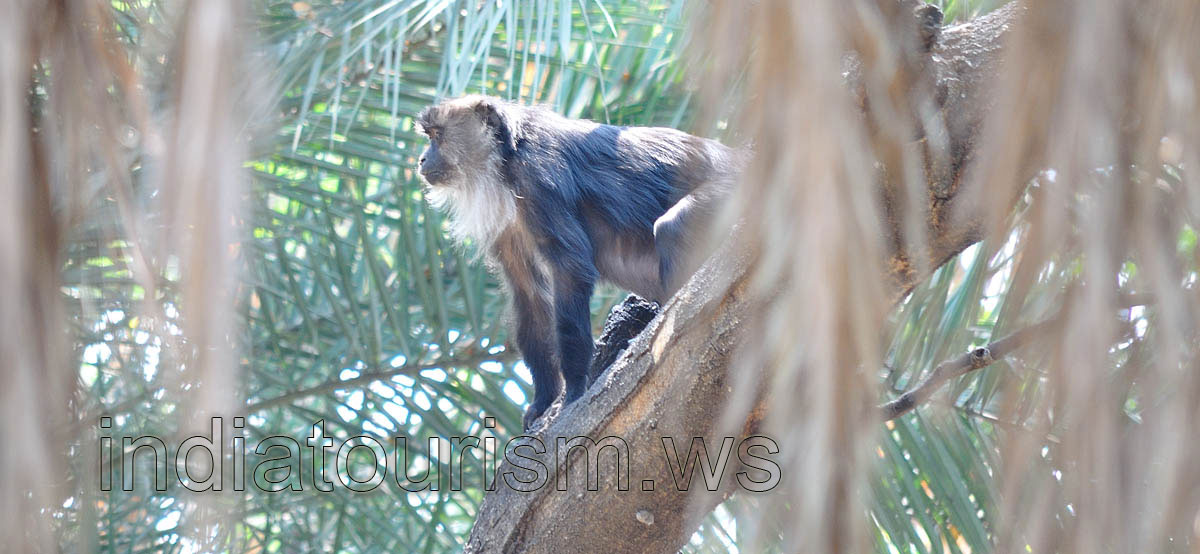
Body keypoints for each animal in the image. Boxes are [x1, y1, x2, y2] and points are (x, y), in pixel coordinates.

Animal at [416, 95, 740, 430]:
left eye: (437, 136)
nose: (422, 159)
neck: (507, 156)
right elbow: (528, 293)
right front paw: (544, 400)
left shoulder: (539, 178)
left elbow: (571, 270)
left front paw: (573, 391)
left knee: (673, 227)